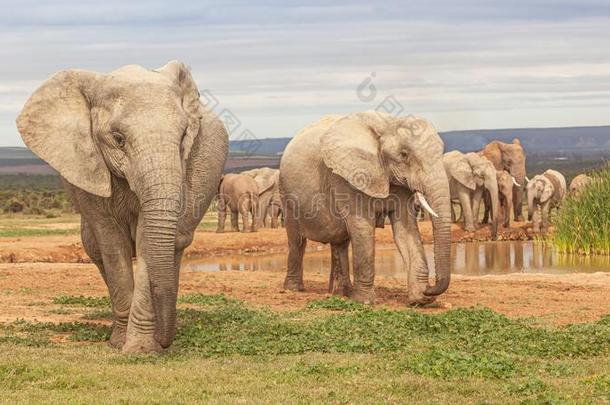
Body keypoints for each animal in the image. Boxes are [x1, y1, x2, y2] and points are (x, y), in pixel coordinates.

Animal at [17, 61, 230, 352]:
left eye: (184, 136)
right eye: (118, 139)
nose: (165, 343)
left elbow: (147, 242)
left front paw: (142, 349)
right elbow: (111, 243)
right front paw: (121, 344)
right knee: (95, 249)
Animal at [280, 112, 452, 304]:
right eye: (404, 154)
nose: (430, 289)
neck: (387, 123)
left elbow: (405, 230)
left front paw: (420, 300)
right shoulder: (349, 177)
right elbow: (362, 228)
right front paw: (365, 301)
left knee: (339, 241)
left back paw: (341, 293)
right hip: (287, 195)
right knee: (297, 240)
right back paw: (294, 289)